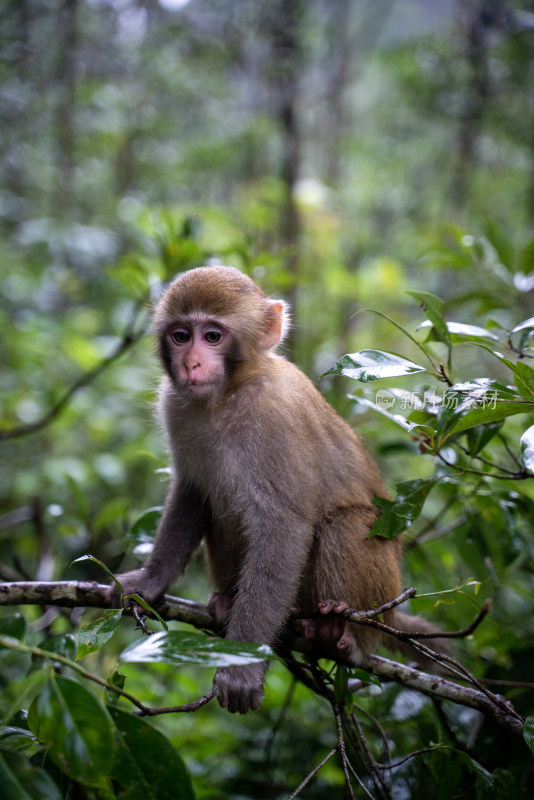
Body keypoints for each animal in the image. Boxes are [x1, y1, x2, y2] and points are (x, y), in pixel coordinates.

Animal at [113, 266, 448, 716]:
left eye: (212, 336)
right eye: (181, 336)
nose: (191, 363)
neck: (226, 395)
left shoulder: (274, 417)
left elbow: (283, 528)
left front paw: (241, 670)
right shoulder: (176, 406)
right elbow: (191, 492)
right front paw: (150, 580)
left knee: (346, 524)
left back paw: (341, 632)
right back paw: (229, 602)